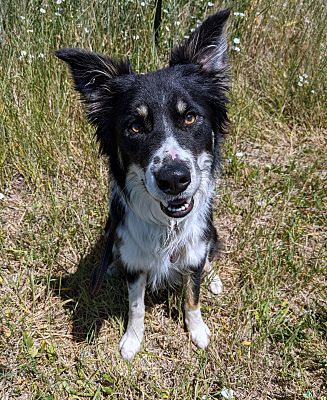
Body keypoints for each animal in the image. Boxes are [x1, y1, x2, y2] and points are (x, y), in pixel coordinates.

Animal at [56, 9, 231, 360]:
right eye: (135, 126)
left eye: (189, 117)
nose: (174, 179)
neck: (167, 227)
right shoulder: (135, 260)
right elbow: (135, 305)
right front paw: (132, 340)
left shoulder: (194, 250)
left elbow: (192, 295)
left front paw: (198, 331)